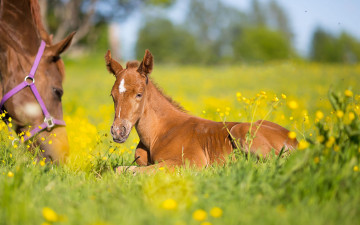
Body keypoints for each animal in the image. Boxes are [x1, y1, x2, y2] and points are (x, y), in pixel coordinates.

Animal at [105, 49, 298, 172]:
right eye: (112, 95)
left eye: (139, 94)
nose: (118, 131)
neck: (158, 133)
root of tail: (296, 140)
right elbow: (121, 169)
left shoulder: (189, 161)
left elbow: (132, 171)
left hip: (240, 130)